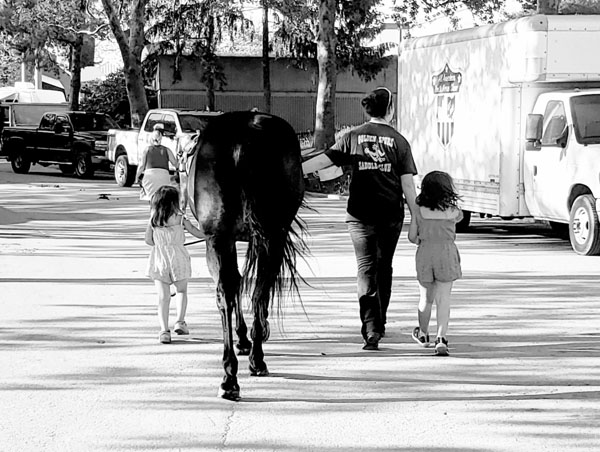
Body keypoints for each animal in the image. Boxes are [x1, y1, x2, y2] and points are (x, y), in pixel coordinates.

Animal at [183, 111, 304, 400]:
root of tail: (245, 137)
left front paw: (242, 338)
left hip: (220, 239)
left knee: (229, 292)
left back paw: (233, 373)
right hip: (265, 237)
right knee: (257, 289)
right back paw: (250, 363)